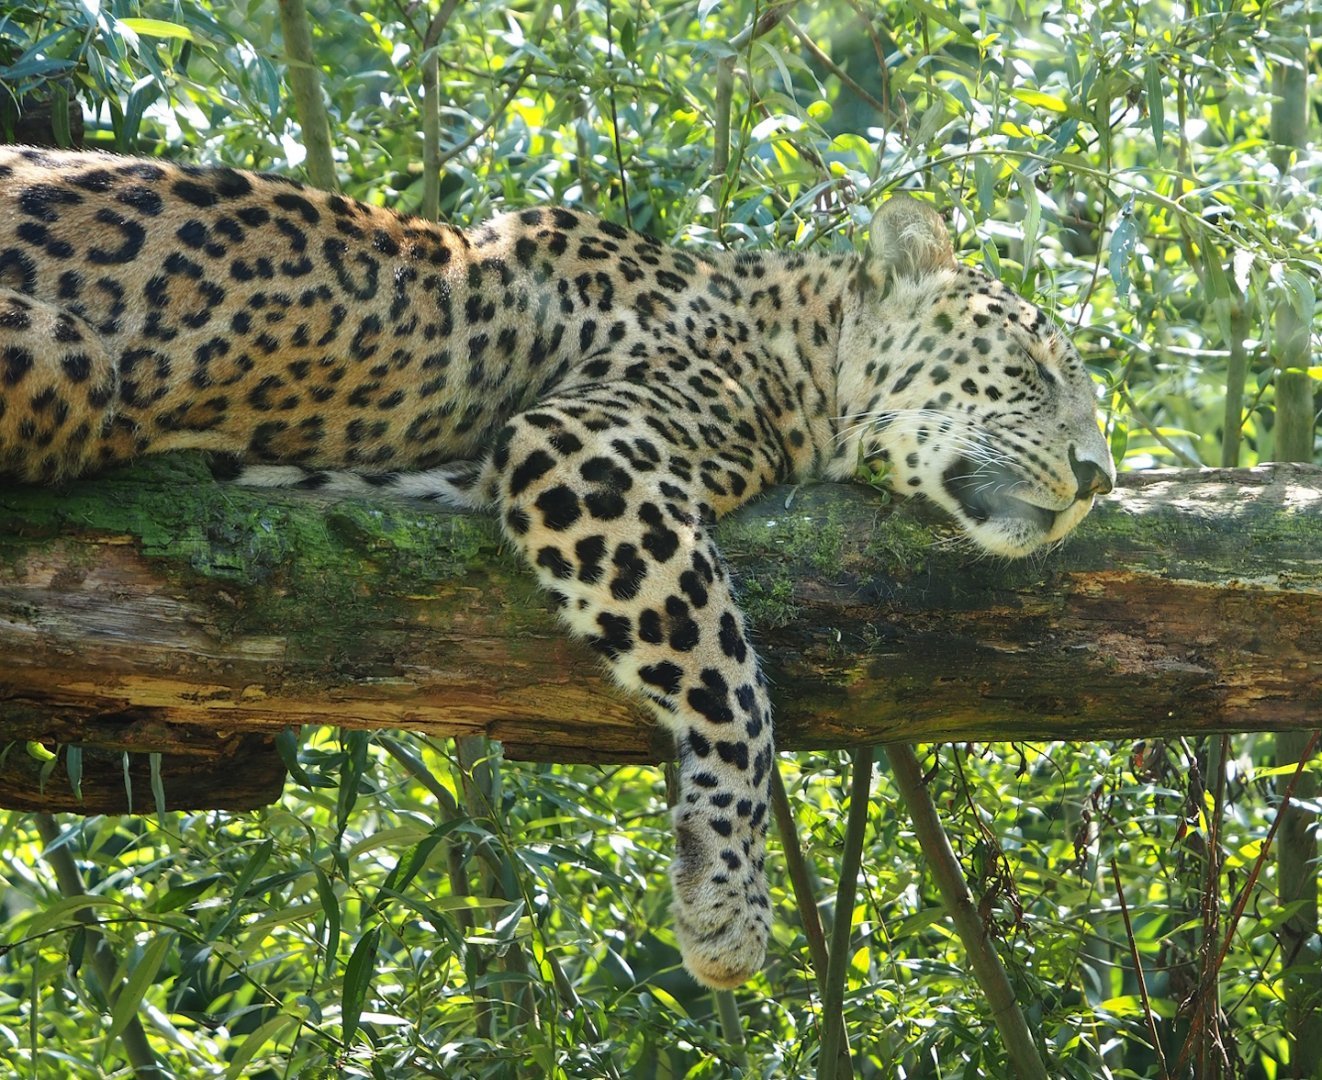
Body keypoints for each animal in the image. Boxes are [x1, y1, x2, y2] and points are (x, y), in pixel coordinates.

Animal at [0, 145, 1114, 989]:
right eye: (1029, 372)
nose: (1100, 478)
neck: (792, 343)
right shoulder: (587, 443)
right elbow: (732, 682)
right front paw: (727, 904)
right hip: (69, 357)